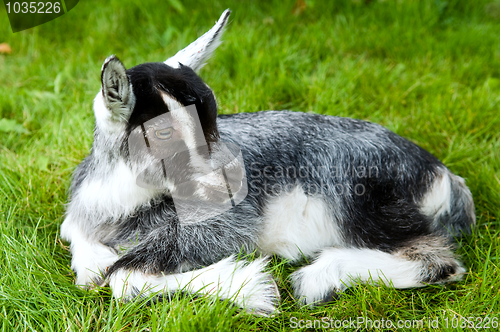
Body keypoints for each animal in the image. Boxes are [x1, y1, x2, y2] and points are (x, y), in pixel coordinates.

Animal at [60, 10, 474, 316]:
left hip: (361, 199)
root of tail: (444, 177)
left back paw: (318, 278)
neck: (120, 203)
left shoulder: (223, 226)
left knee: (439, 261)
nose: (233, 178)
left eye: (213, 113)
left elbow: (124, 278)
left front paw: (253, 289)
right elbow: (81, 246)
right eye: (161, 133)